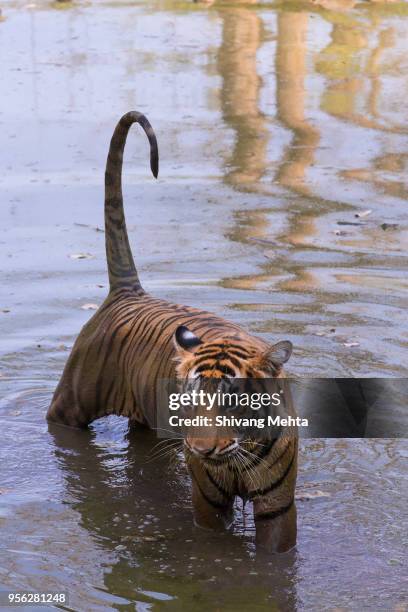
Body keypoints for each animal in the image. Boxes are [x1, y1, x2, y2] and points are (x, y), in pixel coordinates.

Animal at [47, 111, 298, 556]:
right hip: (73, 401)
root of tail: (128, 291)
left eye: (232, 399)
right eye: (190, 399)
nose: (198, 448)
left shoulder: (278, 508)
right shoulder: (209, 502)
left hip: (146, 423)